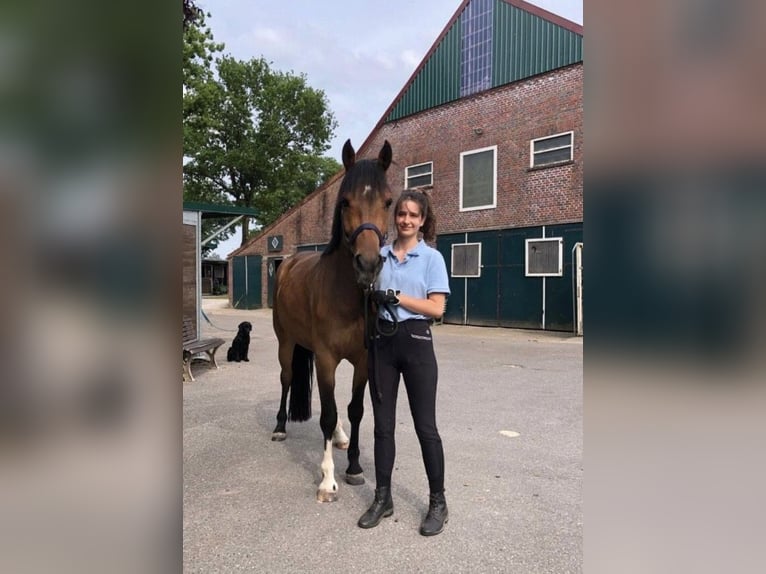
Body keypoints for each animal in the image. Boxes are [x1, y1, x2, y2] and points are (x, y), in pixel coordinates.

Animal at [271, 139, 393, 502]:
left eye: (388, 201)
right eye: (345, 202)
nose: (368, 265)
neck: (346, 296)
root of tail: (287, 263)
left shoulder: (363, 360)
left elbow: (354, 410)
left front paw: (353, 468)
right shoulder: (325, 358)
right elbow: (326, 414)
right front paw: (327, 480)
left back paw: (339, 438)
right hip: (286, 342)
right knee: (286, 379)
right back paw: (280, 427)